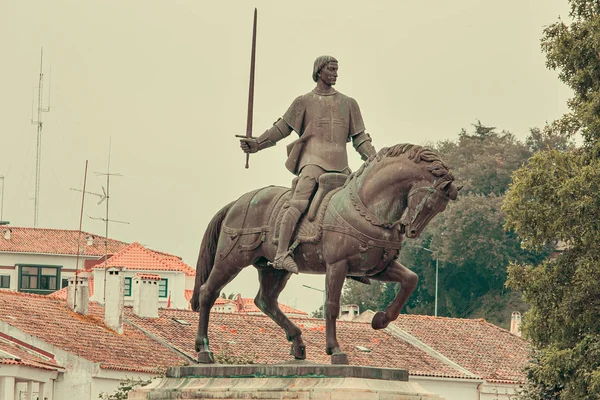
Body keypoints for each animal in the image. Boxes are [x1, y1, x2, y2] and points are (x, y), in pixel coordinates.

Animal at [190, 144, 458, 366]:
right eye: (430, 203)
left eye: (440, 208)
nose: (411, 230)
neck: (367, 208)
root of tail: (238, 202)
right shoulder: (337, 265)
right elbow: (331, 306)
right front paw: (335, 350)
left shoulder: (377, 267)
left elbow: (410, 280)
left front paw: (380, 320)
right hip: (232, 259)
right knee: (208, 292)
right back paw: (204, 349)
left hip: (274, 268)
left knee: (265, 301)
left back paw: (298, 343)